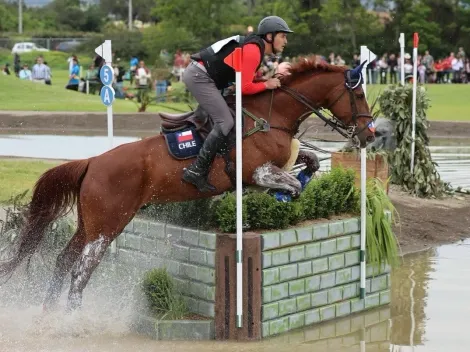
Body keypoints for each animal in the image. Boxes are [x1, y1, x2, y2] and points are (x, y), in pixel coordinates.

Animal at [0, 55, 374, 310]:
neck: (273, 115)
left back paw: (48, 312)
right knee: (80, 271)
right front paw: (281, 198)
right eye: (358, 96)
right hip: (107, 225)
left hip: (88, 223)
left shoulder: (277, 164)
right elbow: (292, 185)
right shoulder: (257, 171)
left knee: (64, 261)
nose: (369, 135)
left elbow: (310, 162)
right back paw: (72, 320)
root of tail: (93, 162)